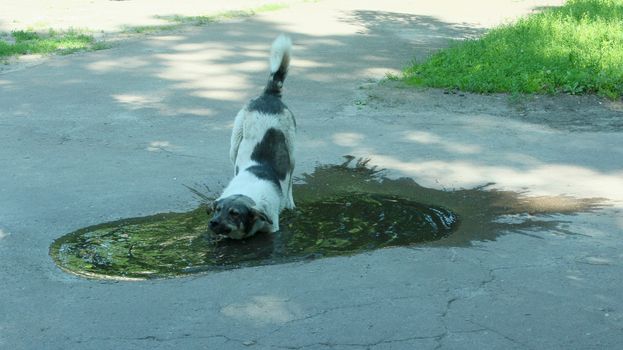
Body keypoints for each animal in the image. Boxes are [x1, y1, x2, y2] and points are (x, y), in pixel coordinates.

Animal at [208, 34, 296, 239]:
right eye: (217, 210)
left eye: (234, 214)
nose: (212, 223)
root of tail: (270, 95)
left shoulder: (272, 228)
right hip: (234, 145)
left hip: (292, 151)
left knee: (290, 180)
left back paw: (290, 202)